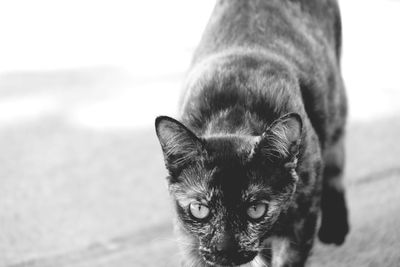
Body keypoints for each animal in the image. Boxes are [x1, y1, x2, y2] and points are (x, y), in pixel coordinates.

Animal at [155, 1, 348, 266]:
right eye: (199, 209)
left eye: (256, 209)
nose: (226, 250)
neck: (234, 116)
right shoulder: (189, 240)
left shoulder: (301, 222)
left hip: (336, 101)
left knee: (336, 160)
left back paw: (336, 227)